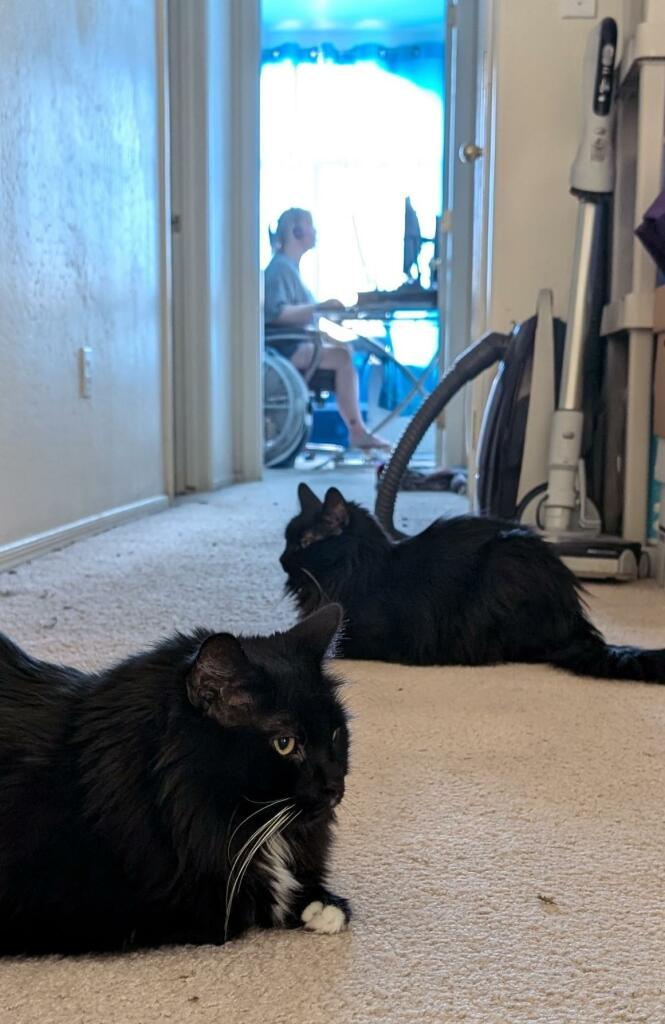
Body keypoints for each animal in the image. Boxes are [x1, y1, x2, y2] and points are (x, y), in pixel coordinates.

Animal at [280, 483, 663, 684]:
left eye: (304, 543)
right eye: (285, 541)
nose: (281, 560)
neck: (360, 569)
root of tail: (574, 619)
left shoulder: (356, 638)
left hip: (502, 571)